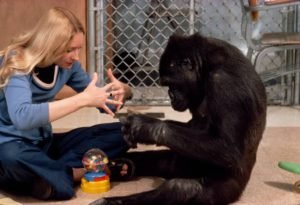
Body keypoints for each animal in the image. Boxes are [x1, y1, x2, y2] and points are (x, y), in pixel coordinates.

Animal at [92, 32, 268, 204]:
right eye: (167, 84)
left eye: (172, 84)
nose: (171, 95)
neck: (206, 67)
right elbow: (192, 126)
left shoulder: (226, 84)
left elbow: (228, 147)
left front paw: (145, 127)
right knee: (163, 161)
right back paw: (124, 166)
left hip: (230, 189)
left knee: (181, 188)